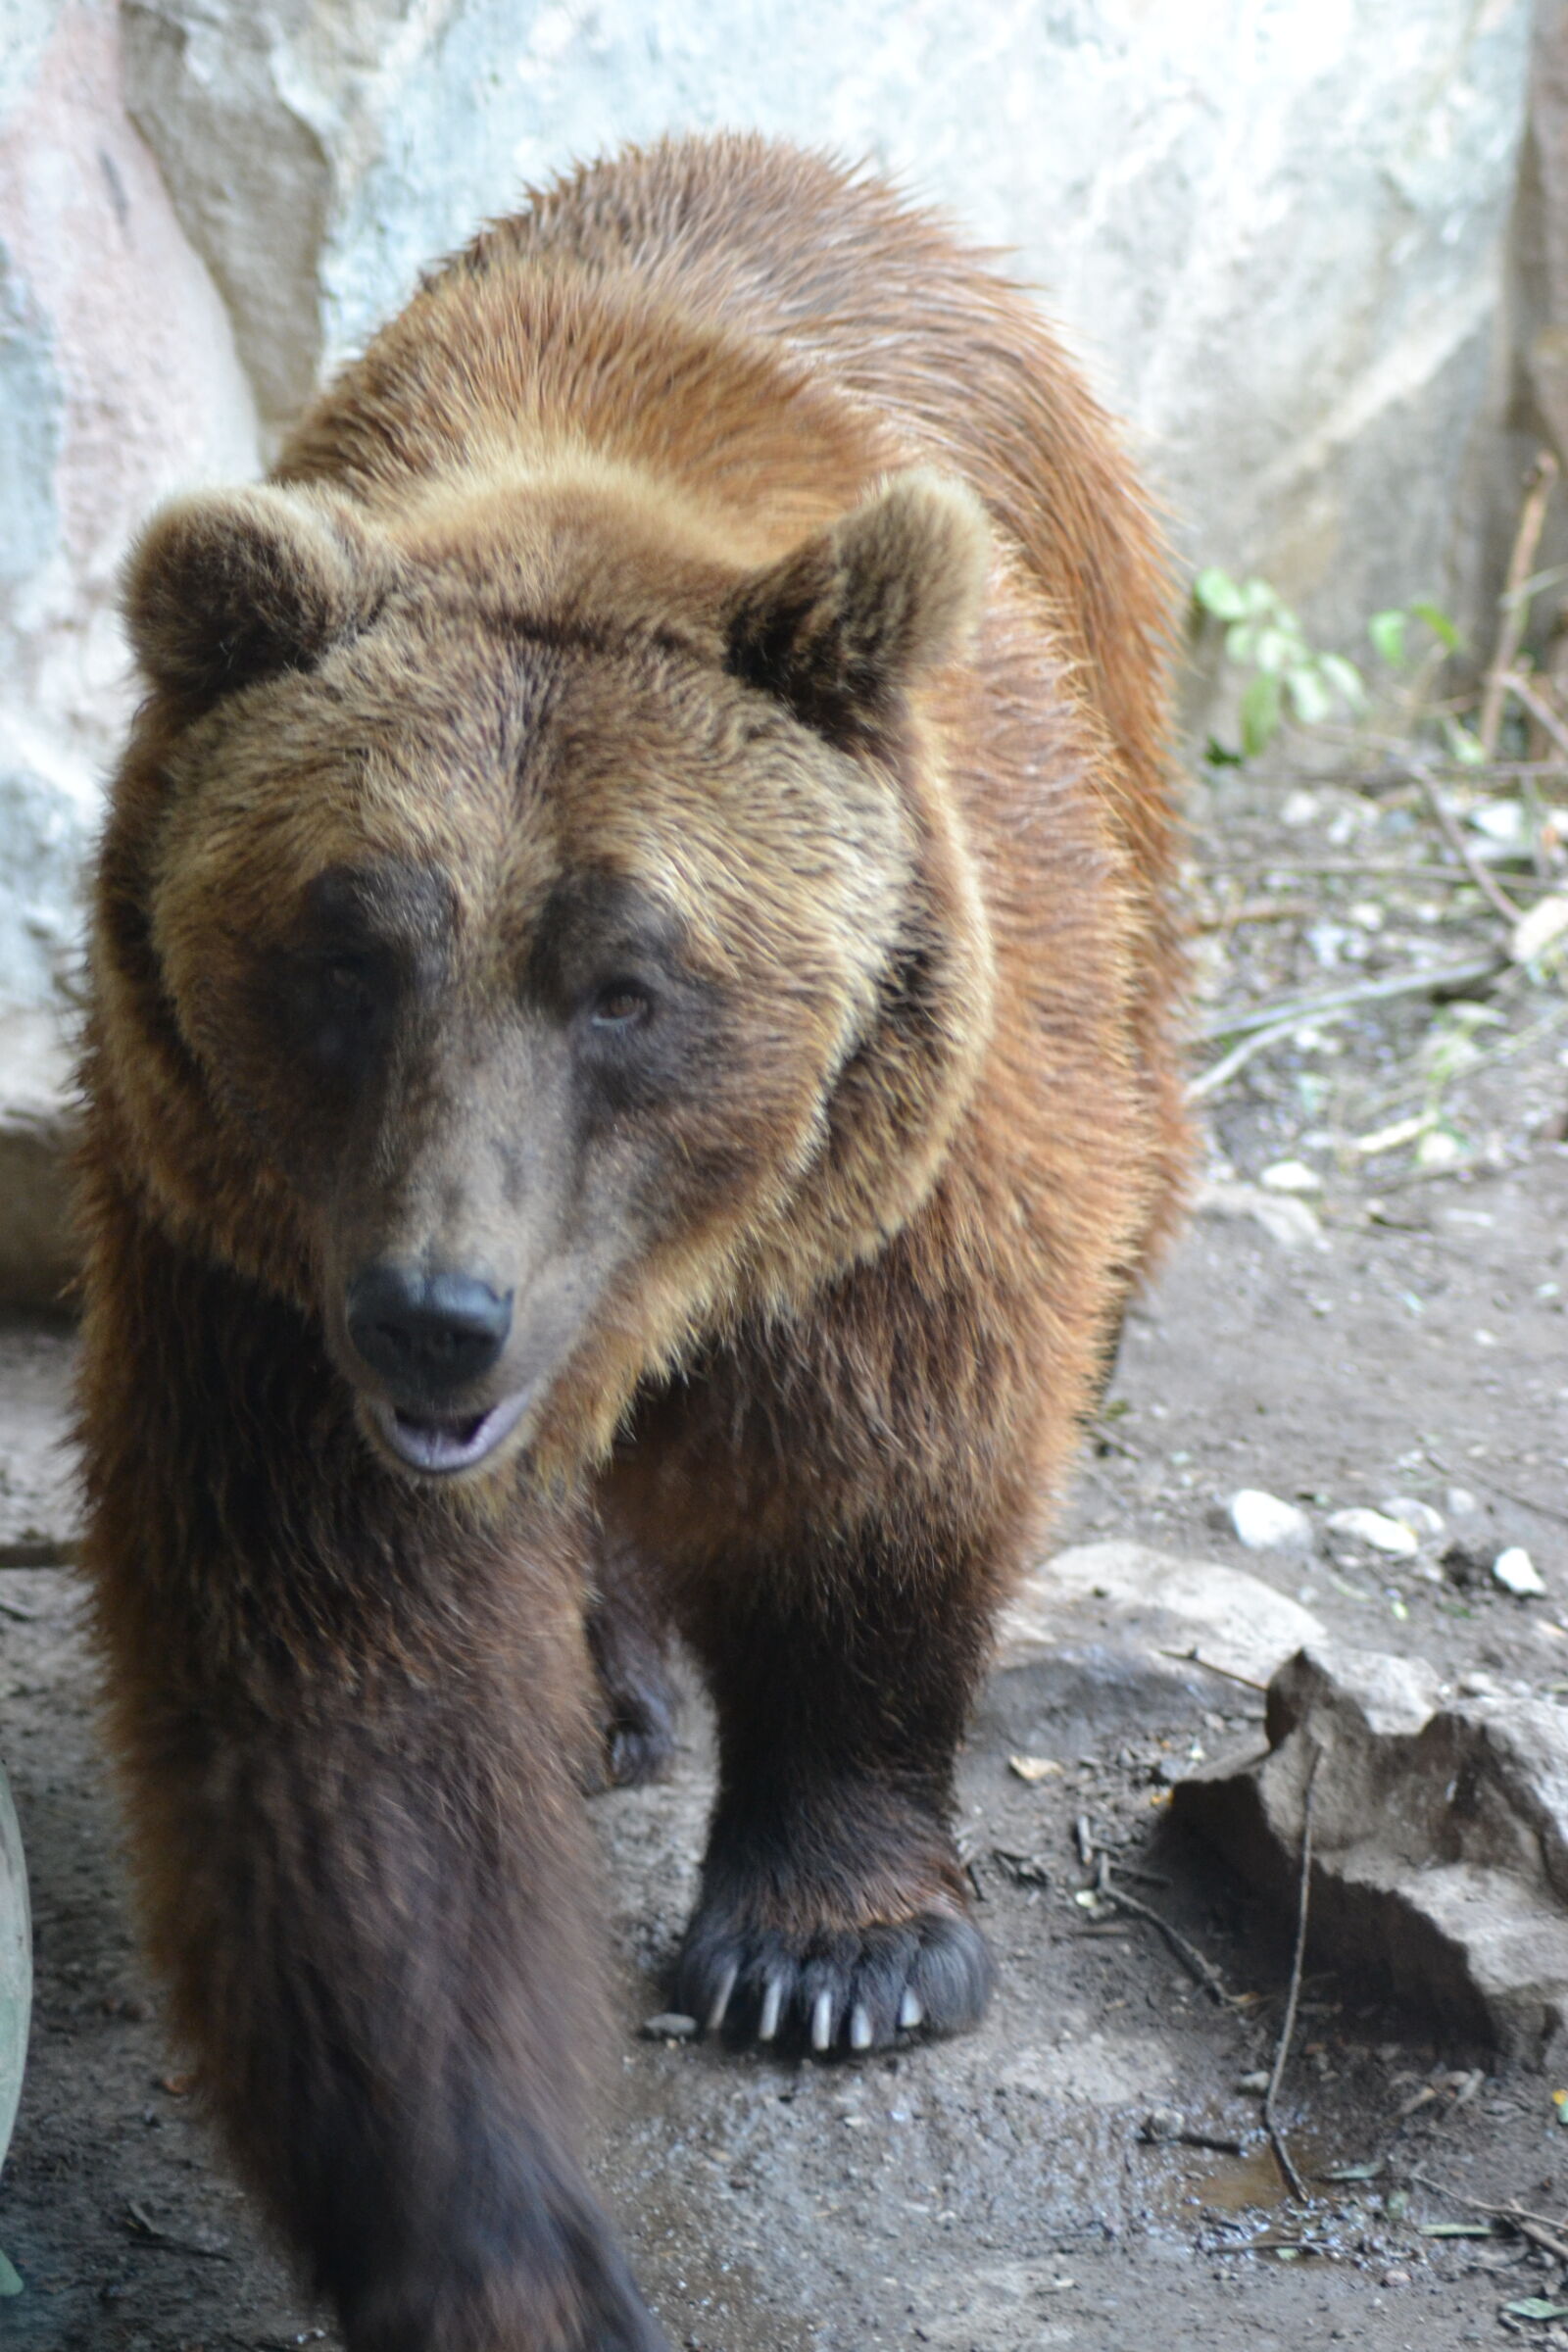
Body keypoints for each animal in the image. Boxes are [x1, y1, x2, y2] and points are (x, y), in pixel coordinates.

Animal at [77, 134, 1186, 2352]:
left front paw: (830, 1948)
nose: (436, 1319)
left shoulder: (908, 1155)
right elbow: (351, 1719)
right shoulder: (248, 1262)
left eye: (628, 981)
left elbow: (880, 1480)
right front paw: (500, 2255)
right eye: (344, 947)